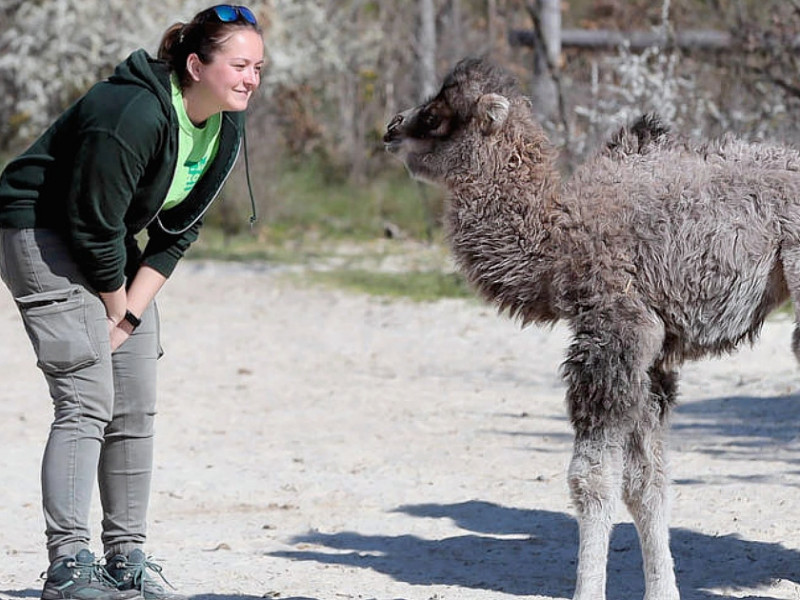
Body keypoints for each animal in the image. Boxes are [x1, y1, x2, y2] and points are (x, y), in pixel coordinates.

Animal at [382, 57, 800, 600]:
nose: (391, 128)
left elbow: (592, 479)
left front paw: (587, 590)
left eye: (436, 116)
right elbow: (645, 483)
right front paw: (662, 590)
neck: (558, 241)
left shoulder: (615, 330)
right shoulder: (652, 357)